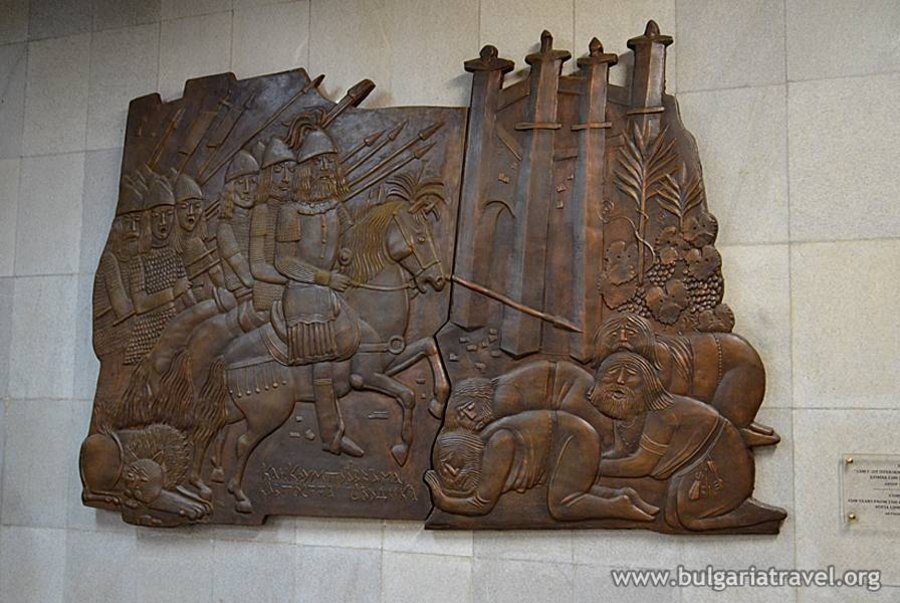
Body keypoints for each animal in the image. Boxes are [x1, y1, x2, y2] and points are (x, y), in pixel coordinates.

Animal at [215, 199, 449, 513]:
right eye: (421, 238)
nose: (438, 279)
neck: (366, 312)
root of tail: (228, 358)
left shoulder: (390, 359)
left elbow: (428, 345)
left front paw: (438, 402)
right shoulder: (366, 376)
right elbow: (408, 395)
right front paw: (401, 449)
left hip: (242, 409)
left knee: (220, 430)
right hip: (271, 411)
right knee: (242, 442)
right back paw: (240, 497)